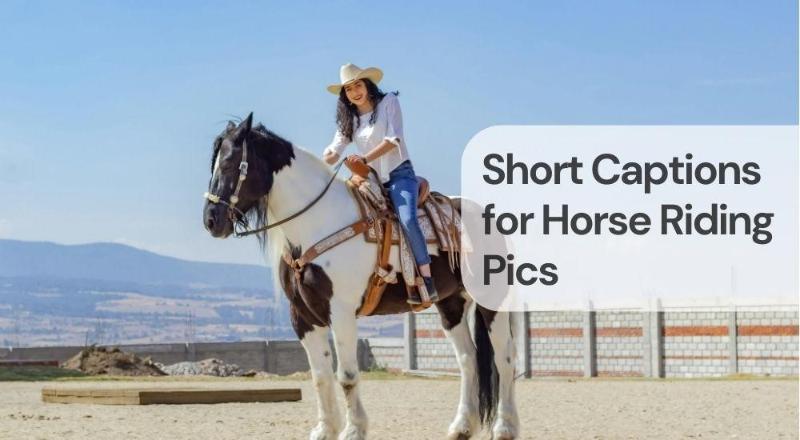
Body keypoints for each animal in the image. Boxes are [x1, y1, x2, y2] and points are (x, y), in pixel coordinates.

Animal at [202, 113, 519, 440]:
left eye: (230, 163)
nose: (211, 220)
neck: (319, 222)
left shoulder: (341, 312)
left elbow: (347, 375)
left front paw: (354, 429)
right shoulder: (302, 317)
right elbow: (320, 376)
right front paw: (324, 429)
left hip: (492, 303)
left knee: (504, 359)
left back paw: (504, 427)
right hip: (451, 304)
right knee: (468, 360)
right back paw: (461, 426)